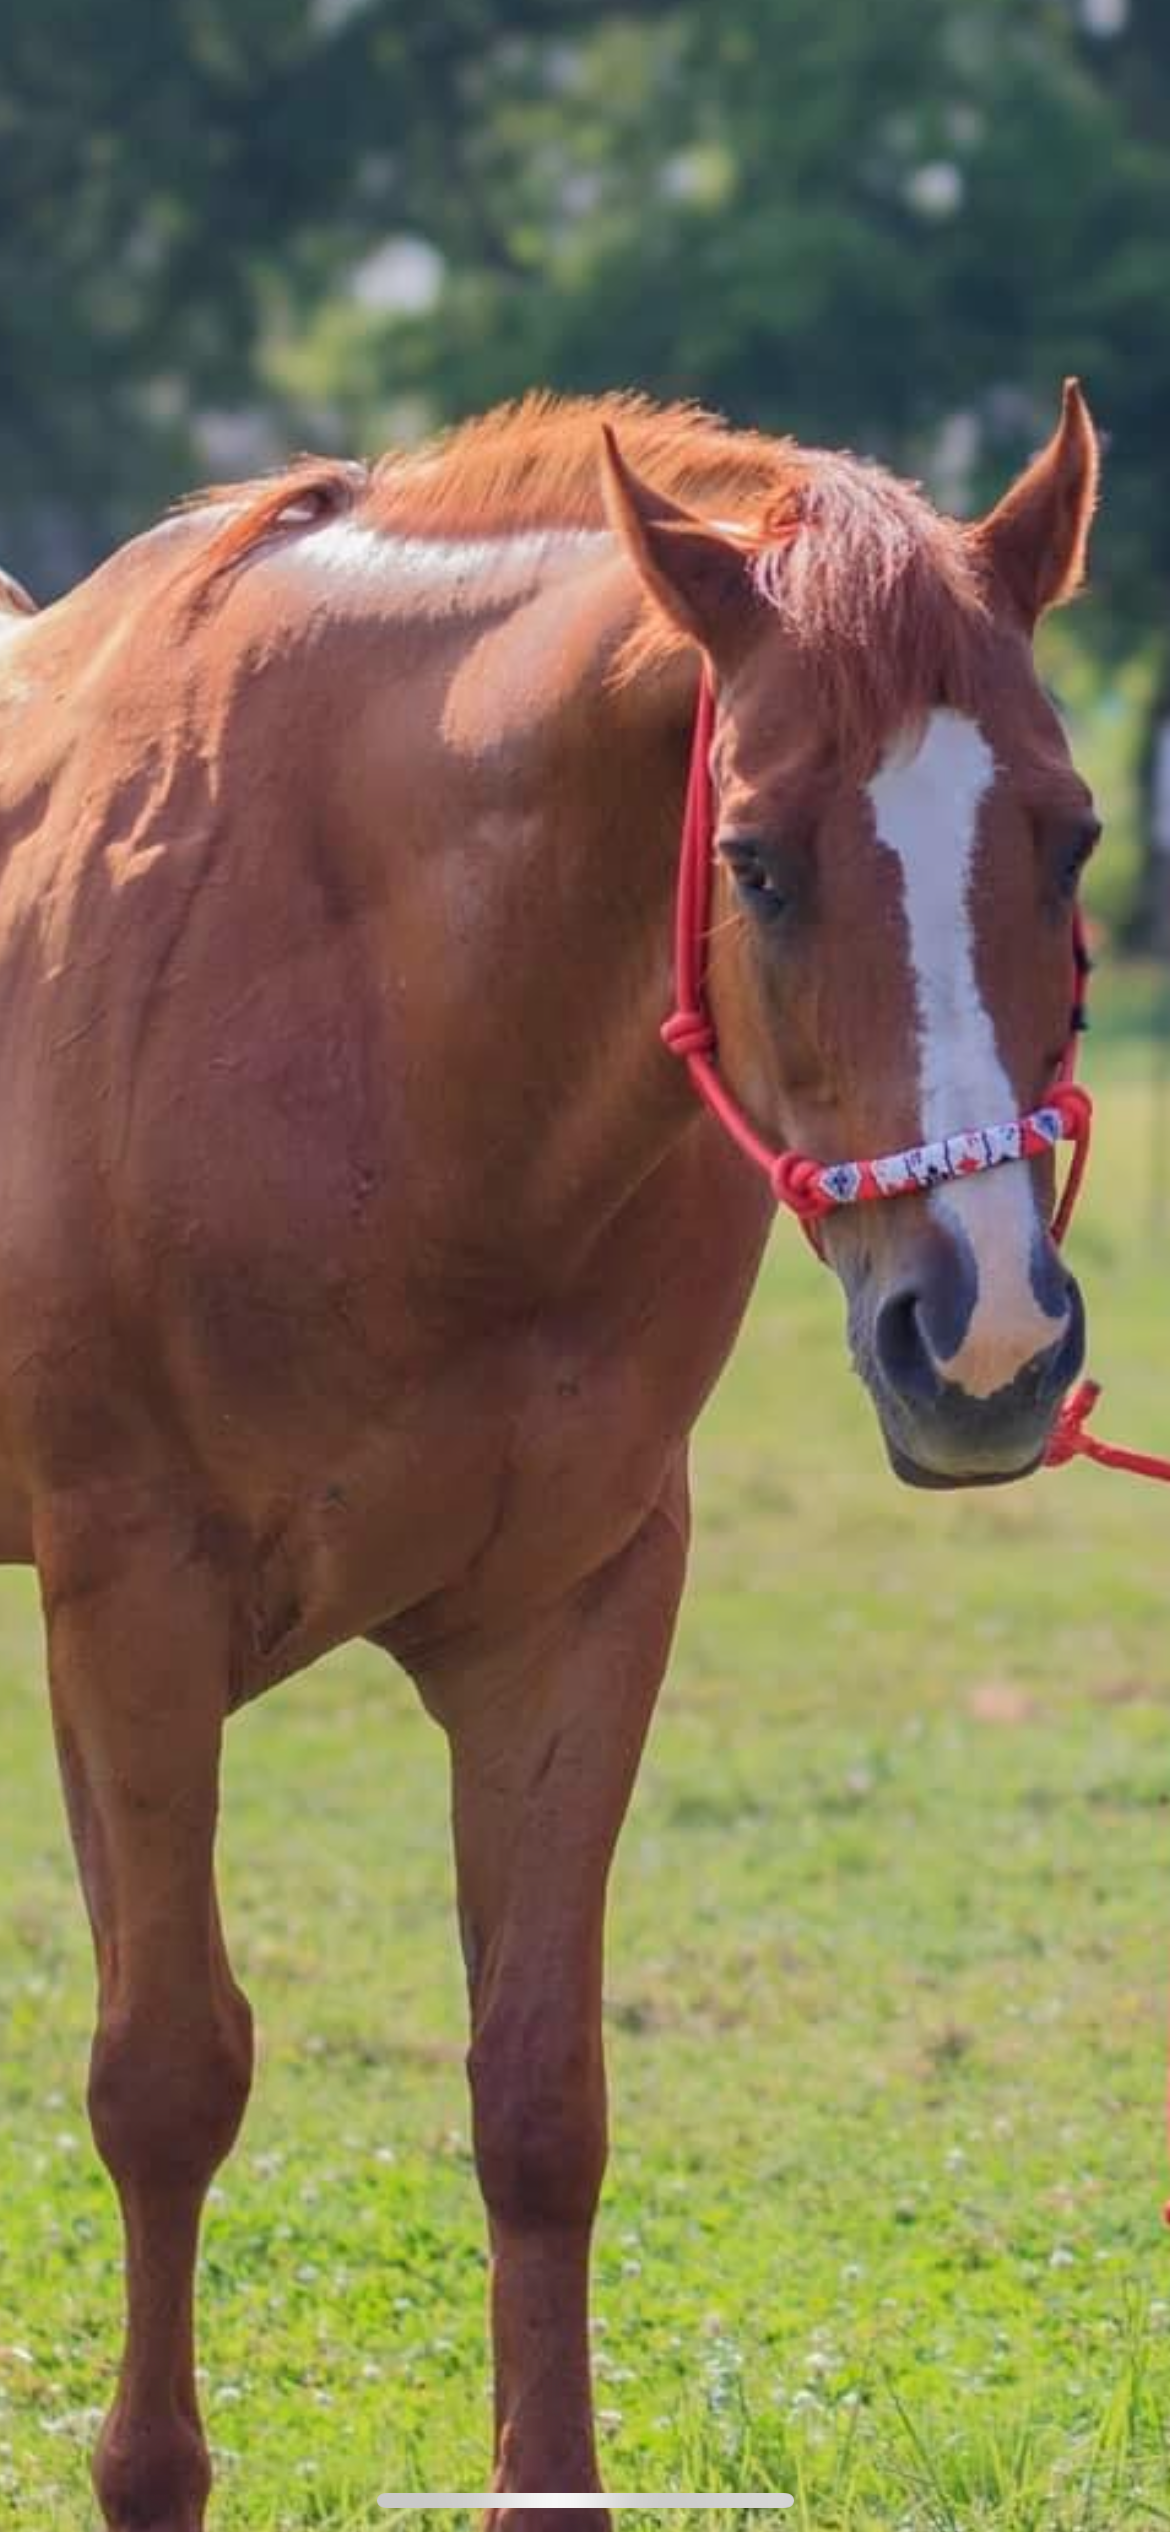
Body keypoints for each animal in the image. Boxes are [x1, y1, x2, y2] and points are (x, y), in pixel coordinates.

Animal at [0, 384, 1099, 2521]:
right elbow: (166, 2077)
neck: (375, 1012)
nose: (989, 1335)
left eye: (1073, 831)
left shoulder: (576, 1612)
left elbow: (537, 2100)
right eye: (756, 860)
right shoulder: (130, 1609)